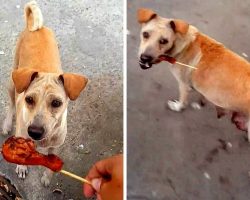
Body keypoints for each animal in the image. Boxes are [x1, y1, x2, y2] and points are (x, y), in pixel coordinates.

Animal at [1, 1, 88, 186]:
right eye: (29, 99)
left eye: (56, 103)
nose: (34, 132)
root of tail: (36, 28)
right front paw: (22, 167)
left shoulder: (56, 145)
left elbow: (51, 160)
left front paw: (47, 176)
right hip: (12, 83)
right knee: (11, 105)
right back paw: (6, 124)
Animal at [137, 8, 250, 141]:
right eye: (145, 34)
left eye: (164, 41)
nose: (145, 58)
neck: (184, 44)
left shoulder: (183, 84)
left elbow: (182, 101)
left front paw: (178, 107)